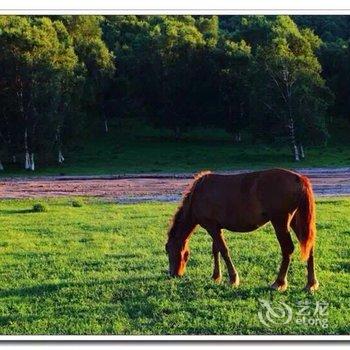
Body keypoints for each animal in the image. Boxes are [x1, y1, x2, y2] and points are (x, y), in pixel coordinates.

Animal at [165, 169, 318, 292]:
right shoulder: (216, 227)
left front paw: (233, 279)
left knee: (287, 249)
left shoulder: (212, 227)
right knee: (308, 246)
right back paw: (311, 284)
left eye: (168, 251)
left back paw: (279, 282)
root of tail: (300, 178)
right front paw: (216, 276)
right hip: (295, 221)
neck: (197, 195)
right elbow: (216, 250)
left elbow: (223, 250)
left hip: (280, 221)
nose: (174, 274)